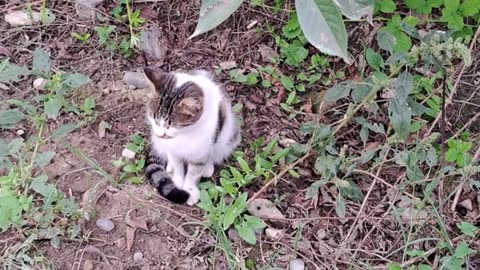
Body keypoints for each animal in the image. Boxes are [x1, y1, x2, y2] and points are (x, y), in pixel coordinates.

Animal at [142, 67, 240, 205]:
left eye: (171, 125)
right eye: (155, 120)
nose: (161, 134)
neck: (185, 134)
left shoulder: (201, 151)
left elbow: (193, 173)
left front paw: (189, 190)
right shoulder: (173, 149)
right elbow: (177, 166)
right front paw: (177, 182)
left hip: (228, 137)